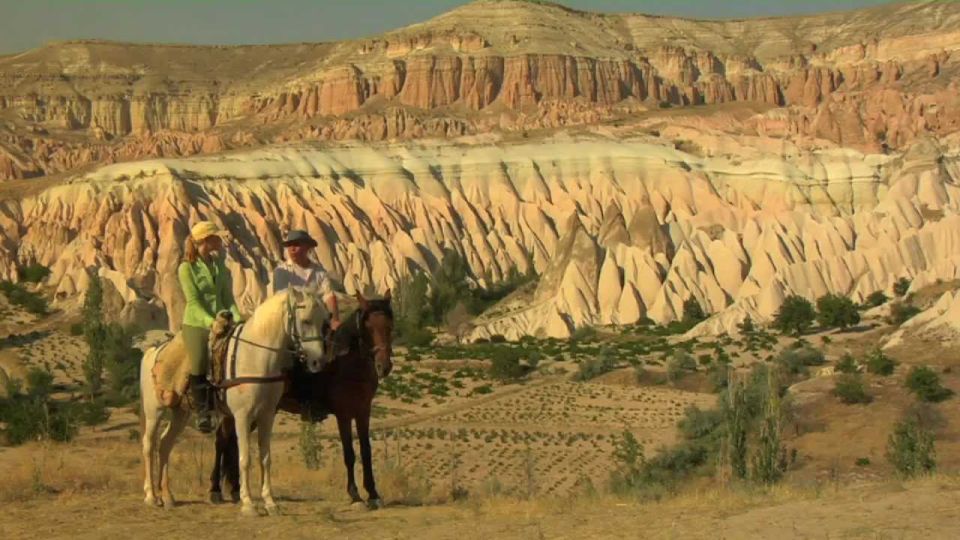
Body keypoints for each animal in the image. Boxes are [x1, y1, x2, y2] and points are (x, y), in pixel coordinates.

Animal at [138, 288, 326, 516]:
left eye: (324, 321)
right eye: (306, 320)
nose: (317, 362)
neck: (255, 356)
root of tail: (151, 352)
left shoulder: (267, 415)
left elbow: (265, 458)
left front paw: (270, 502)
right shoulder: (242, 416)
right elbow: (244, 458)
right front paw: (248, 504)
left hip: (180, 412)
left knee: (165, 443)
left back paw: (167, 496)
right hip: (154, 411)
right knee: (149, 445)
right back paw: (150, 496)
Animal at [210, 292, 394, 506]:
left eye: (389, 325)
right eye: (368, 327)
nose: (384, 366)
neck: (348, 363)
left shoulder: (364, 411)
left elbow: (366, 451)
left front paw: (373, 493)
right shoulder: (344, 414)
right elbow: (349, 453)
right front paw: (354, 494)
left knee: (231, 443)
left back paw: (234, 490)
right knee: (221, 441)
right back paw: (215, 490)